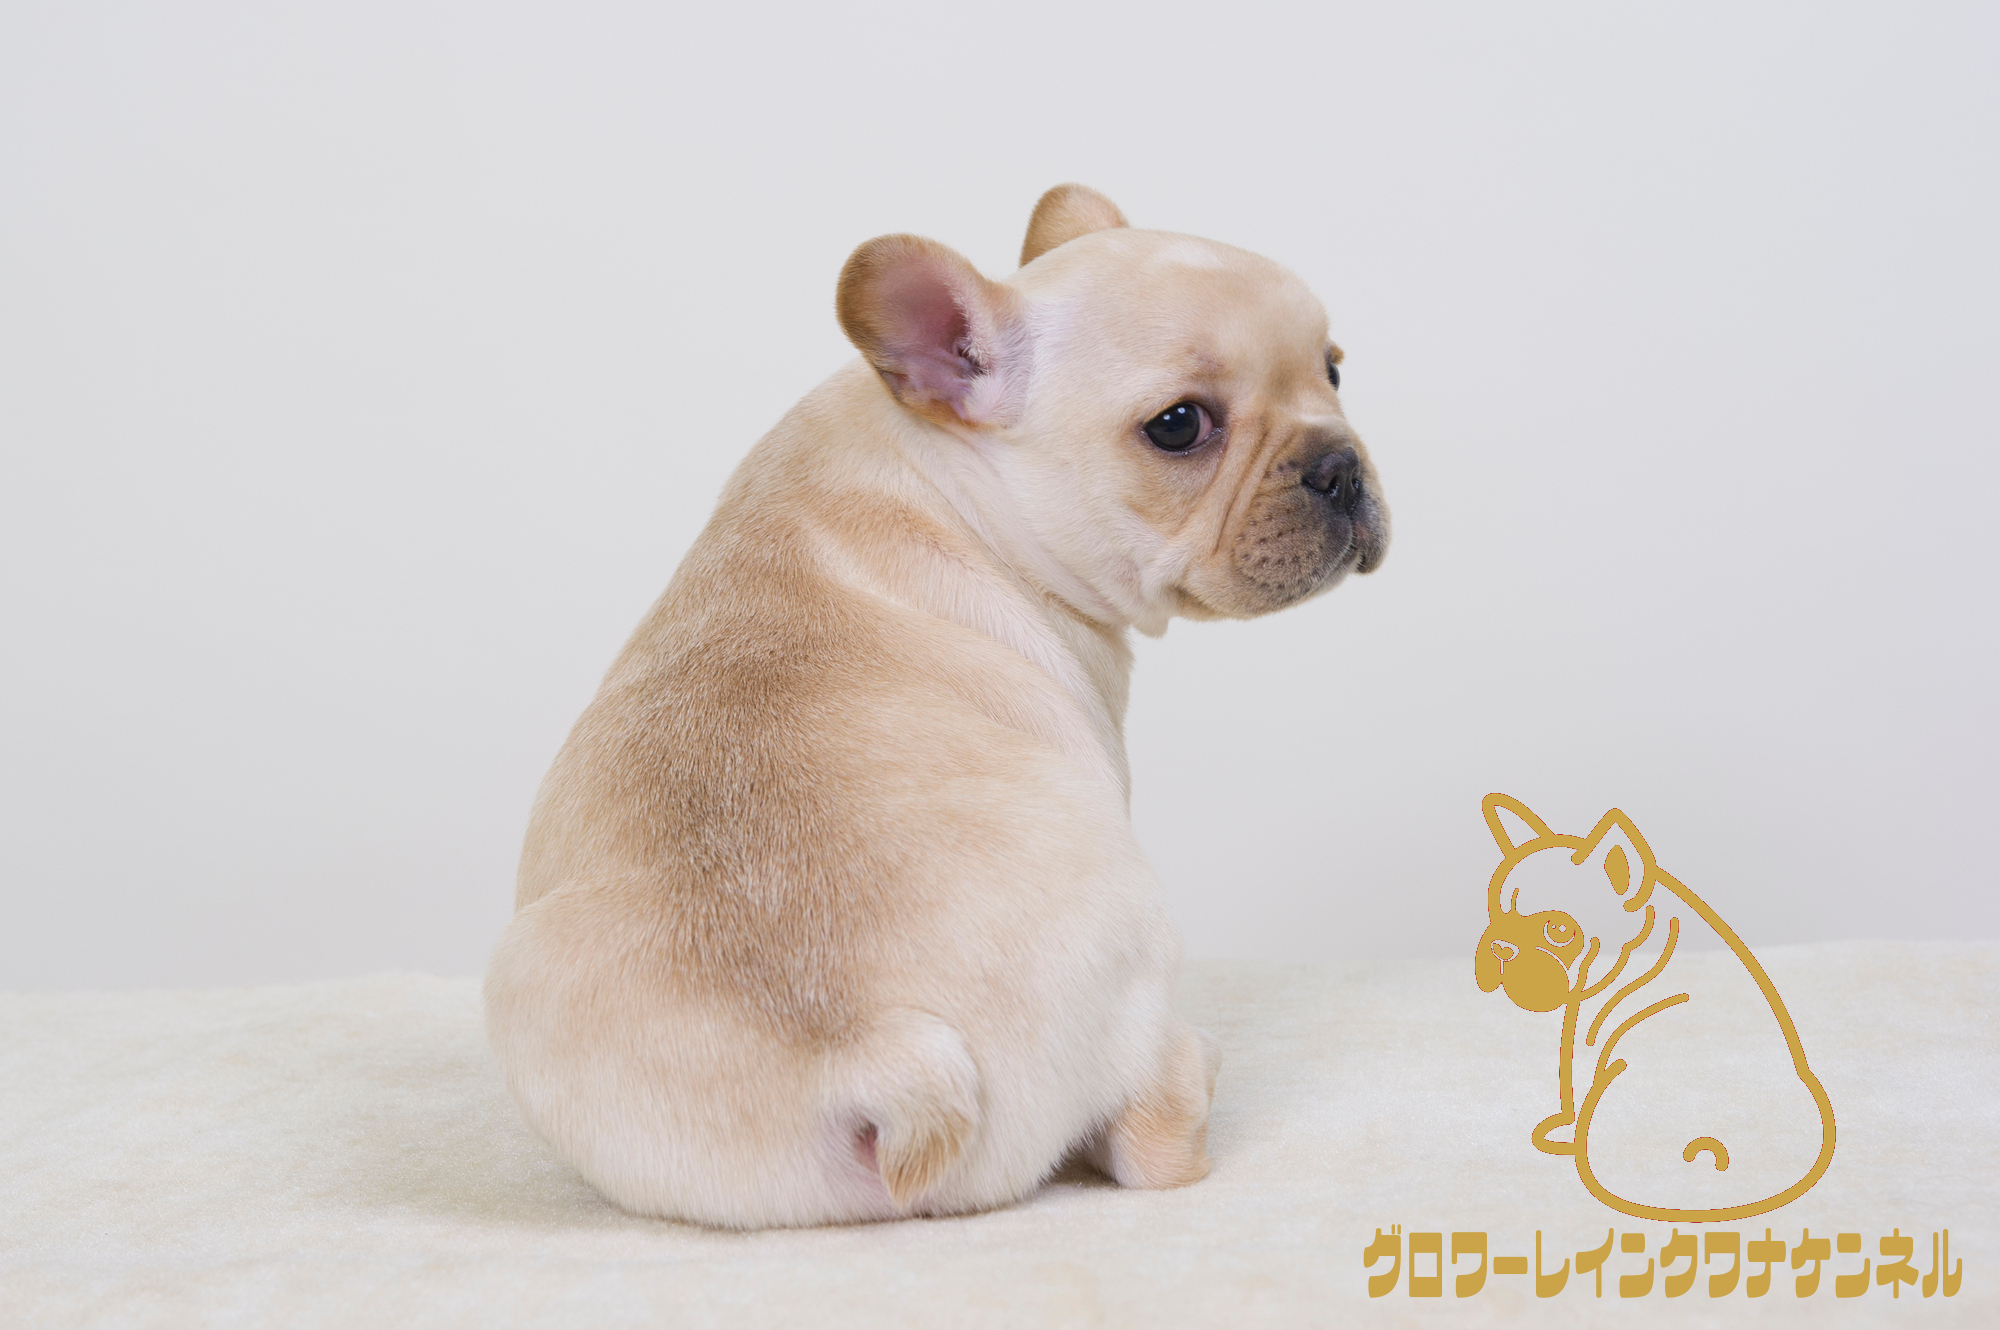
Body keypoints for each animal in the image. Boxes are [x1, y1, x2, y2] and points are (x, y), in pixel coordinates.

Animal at [484, 185, 1390, 1228]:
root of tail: (878, 1055)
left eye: (1333, 370)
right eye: (1178, 426)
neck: (949, 470)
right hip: (1138, 942)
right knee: (1154, 1135)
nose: (1342, 465)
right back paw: (1196, 1065)